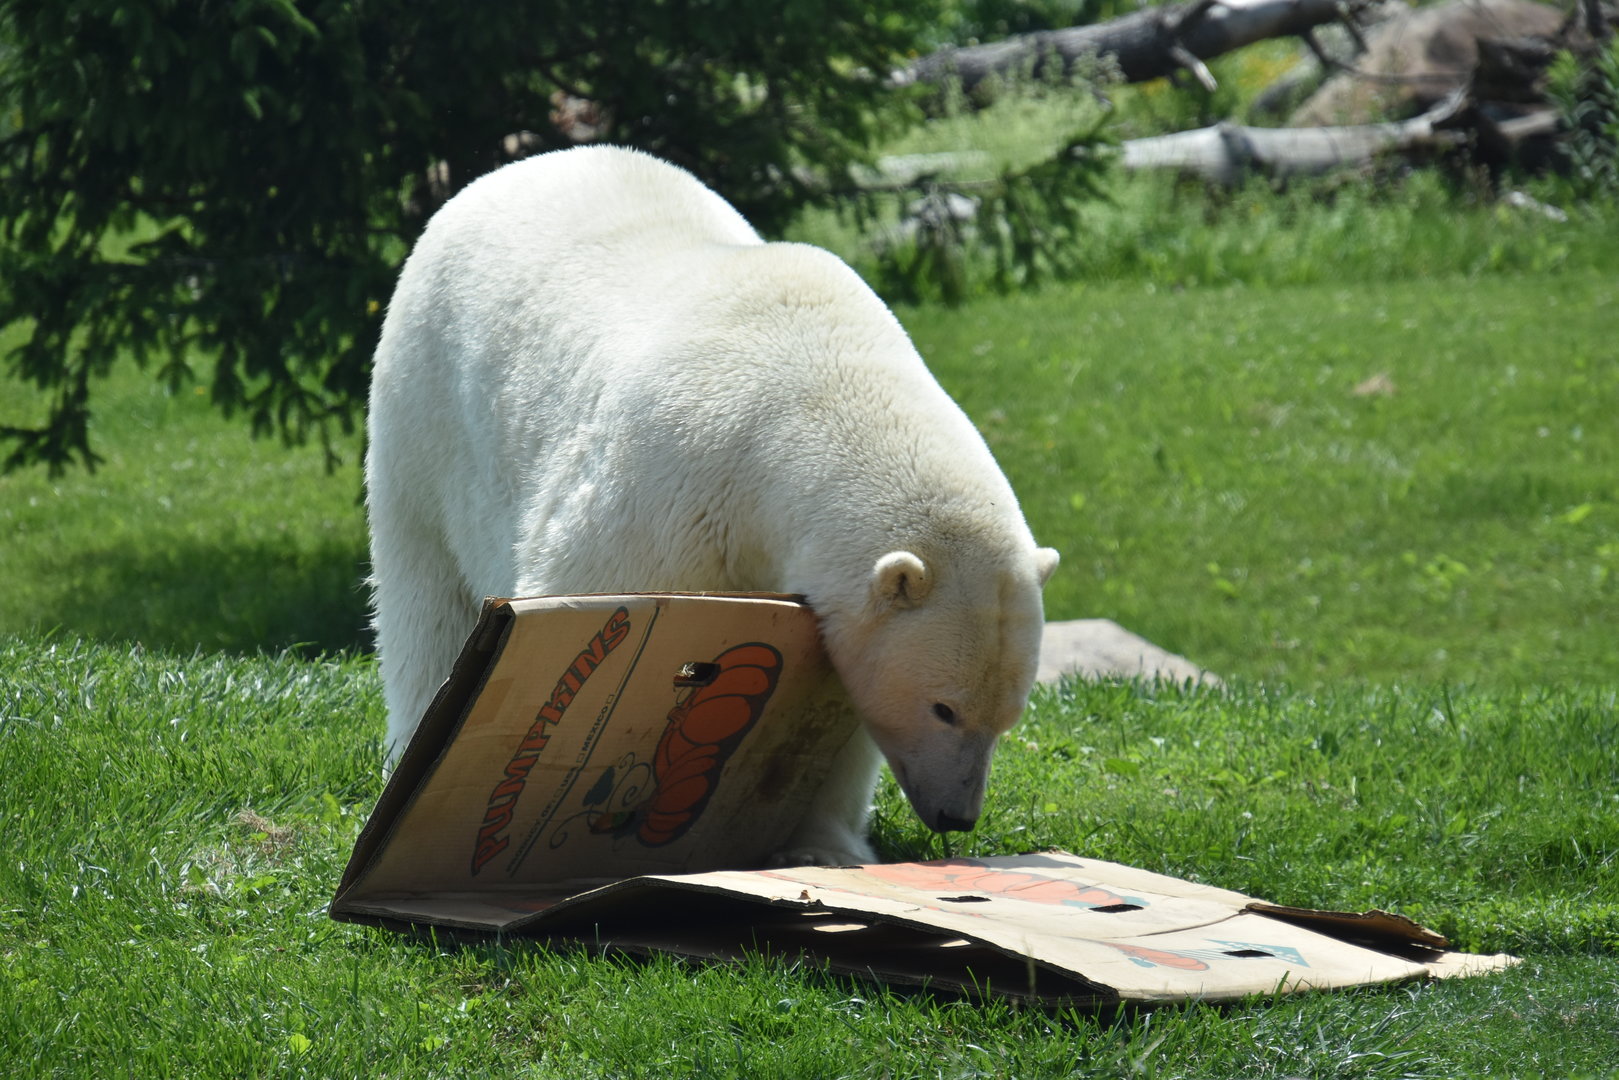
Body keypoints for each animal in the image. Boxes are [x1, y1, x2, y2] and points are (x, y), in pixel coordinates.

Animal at [365, 145, 1058, 866]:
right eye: (943, 708)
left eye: (1007, 716)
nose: (956, 815)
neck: (812, 383)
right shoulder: (673, 490)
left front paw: (824, 847)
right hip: (426, 410)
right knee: (425, 595)